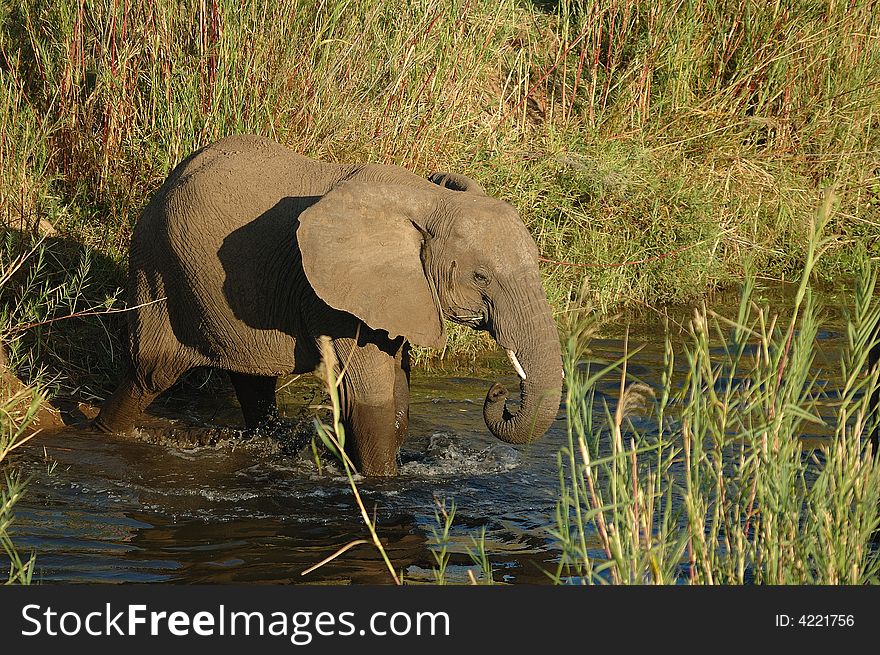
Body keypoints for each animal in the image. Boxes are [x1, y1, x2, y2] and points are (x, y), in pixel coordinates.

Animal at [94, 136, 564, 476]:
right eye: (481, 277)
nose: (499, 392)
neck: (430, 200)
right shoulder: (336, 301)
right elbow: (373, 404)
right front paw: (379, 482)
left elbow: (397, 396)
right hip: (161, 266)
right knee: (153, 370)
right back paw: (107, 432)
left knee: (249, 379)